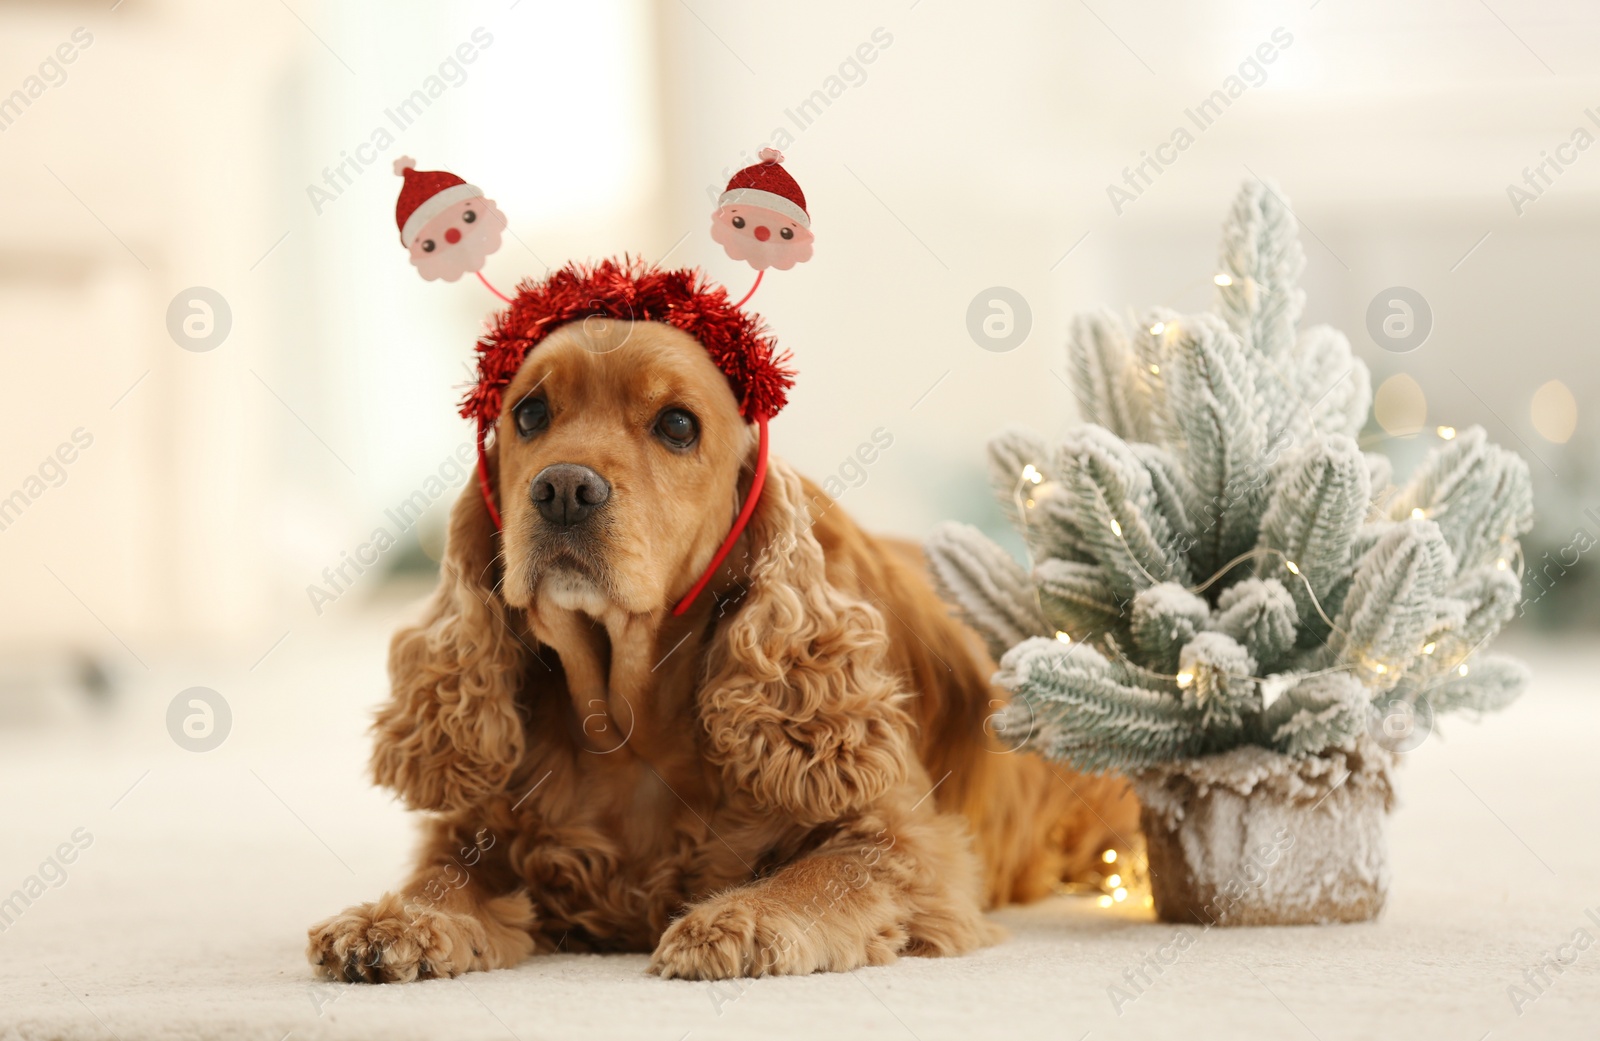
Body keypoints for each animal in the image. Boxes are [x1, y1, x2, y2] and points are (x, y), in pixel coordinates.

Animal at [308, 265, 1139, 978]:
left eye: (678, 425)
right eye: (530, 413)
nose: (563, 489)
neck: (623, 725)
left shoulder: (910, 841)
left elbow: (826, 872)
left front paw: (740, 920)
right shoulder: (476, 827)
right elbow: (442, 875)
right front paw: (393, 921)